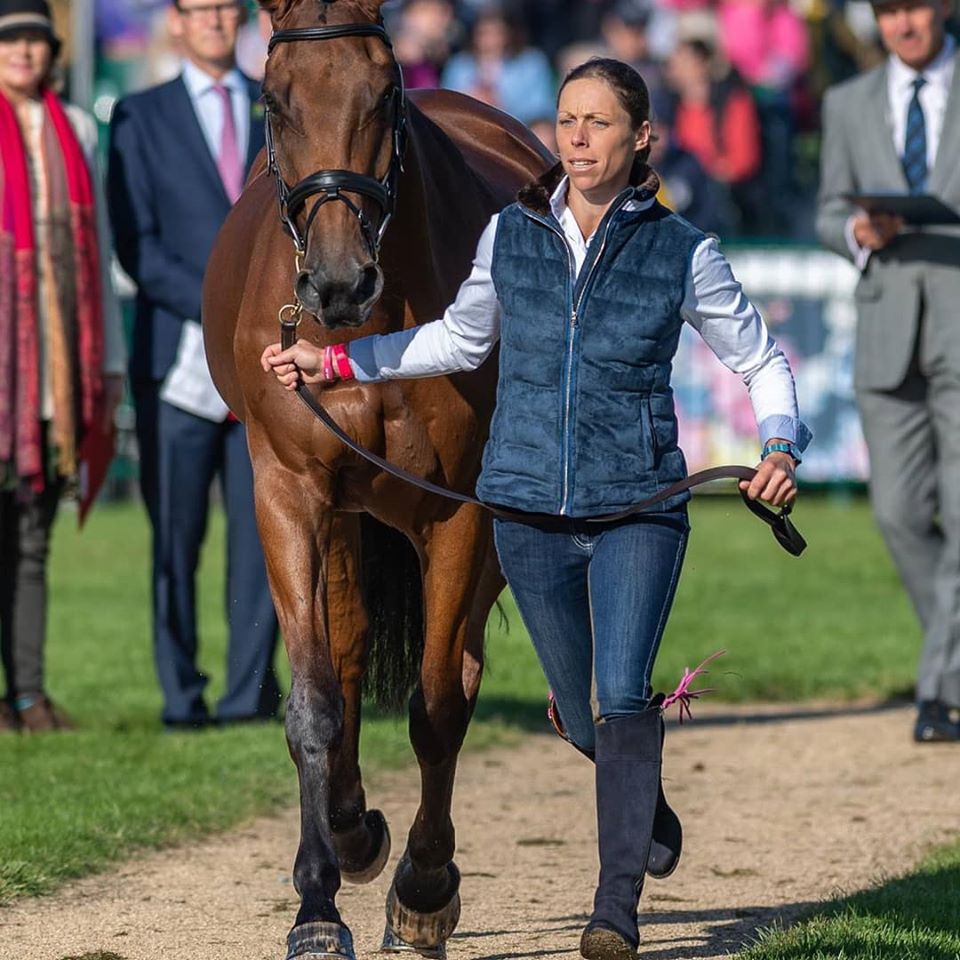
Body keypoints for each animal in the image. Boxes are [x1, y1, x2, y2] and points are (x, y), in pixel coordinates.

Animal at [202, 1, 556, 960]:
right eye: (273, 99)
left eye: (384, 92)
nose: (336, 281)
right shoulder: (290, 493)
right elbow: (315, 702)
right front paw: (318, 901)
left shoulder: (460, 512)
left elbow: (436, 704)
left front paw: (425, 889)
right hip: (347, 515)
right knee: (353, 648)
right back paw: (351, 826)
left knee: (458, 670)